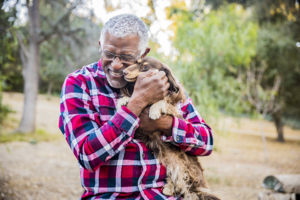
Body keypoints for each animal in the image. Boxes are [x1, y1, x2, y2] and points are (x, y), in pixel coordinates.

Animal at [116, 56, 219, 200]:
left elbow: (163, 102)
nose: (124, 72)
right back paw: (169, 188)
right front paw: (123, 100)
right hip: (170, 162)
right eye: (136, 62)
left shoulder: (174, 111)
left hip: (183, 166)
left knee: (183, 184)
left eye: (145, 67)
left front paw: (154, 110)